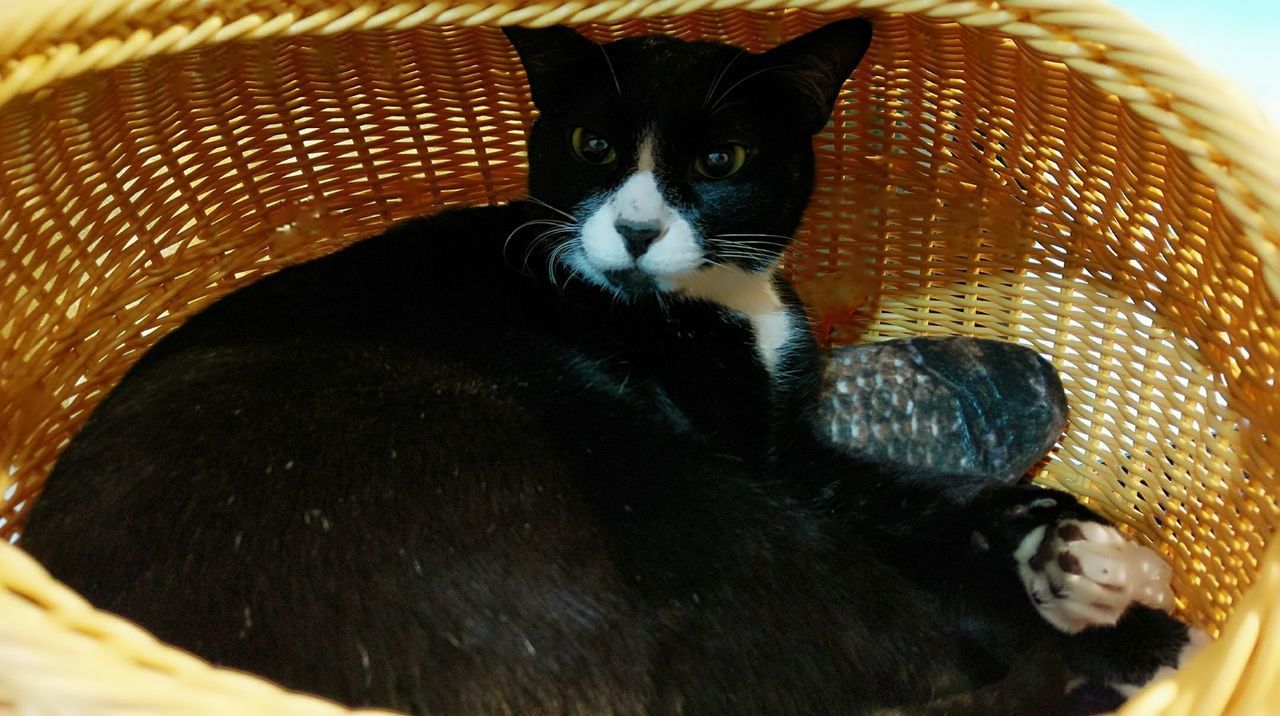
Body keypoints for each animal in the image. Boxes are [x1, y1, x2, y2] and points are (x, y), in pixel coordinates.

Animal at [17, 19, 1198, 712]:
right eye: (591, 145)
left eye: (720, 159)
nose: (632, 229)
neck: (722, 299)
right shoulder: (757, 466)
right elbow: (915, 534)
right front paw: (1086, 582)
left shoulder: (789, 445)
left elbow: (917, 492)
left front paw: (1054, 531)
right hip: (641, 475)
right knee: (902, 646)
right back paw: (1130, 633)